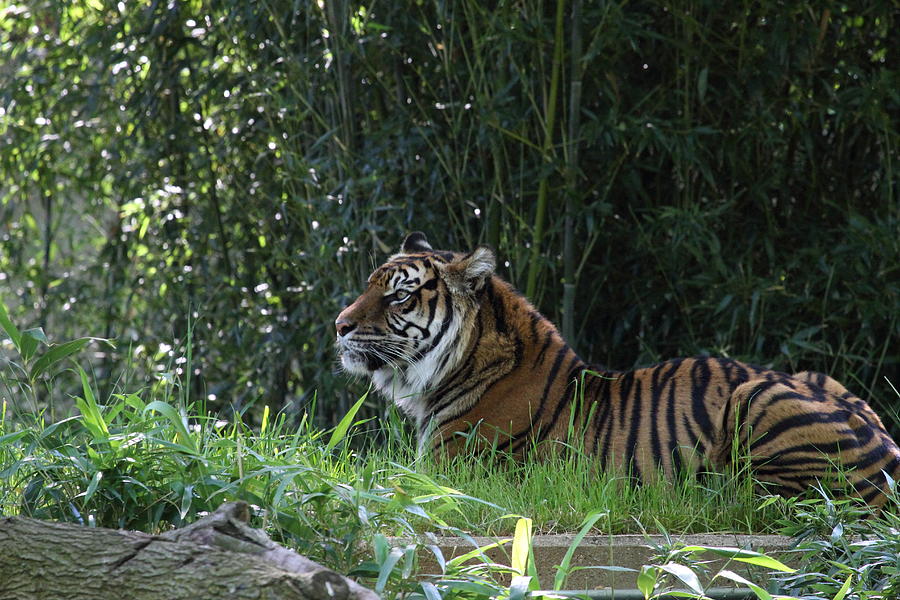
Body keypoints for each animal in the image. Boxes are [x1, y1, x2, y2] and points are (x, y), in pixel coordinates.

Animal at [338, 232, 900, 504]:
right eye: (369, 285)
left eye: (400, 295)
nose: (339, 325)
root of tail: (887, 449)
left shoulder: (448, 474)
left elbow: (369, 480)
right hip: (816, 376)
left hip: (757, 397)